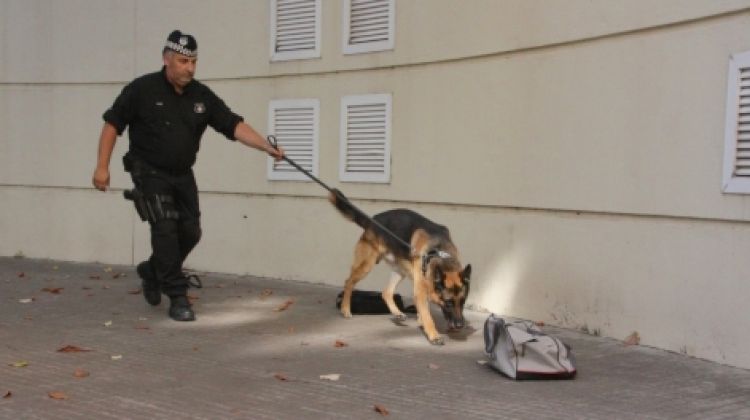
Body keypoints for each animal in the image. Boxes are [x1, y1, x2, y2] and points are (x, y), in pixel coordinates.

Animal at [328, 190, 470, 344]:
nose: (460, 325)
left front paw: (422, 321)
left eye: (463, 301)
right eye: (448, 302)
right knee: (349, 282)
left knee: (386, 292)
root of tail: (372, 221)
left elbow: (423, 309)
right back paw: (345, 309)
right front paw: (433, 334)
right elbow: (428, 316)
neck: (439, 251)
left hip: (400, 271)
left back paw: (397, 313)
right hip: (367, 265)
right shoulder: (420, 291)